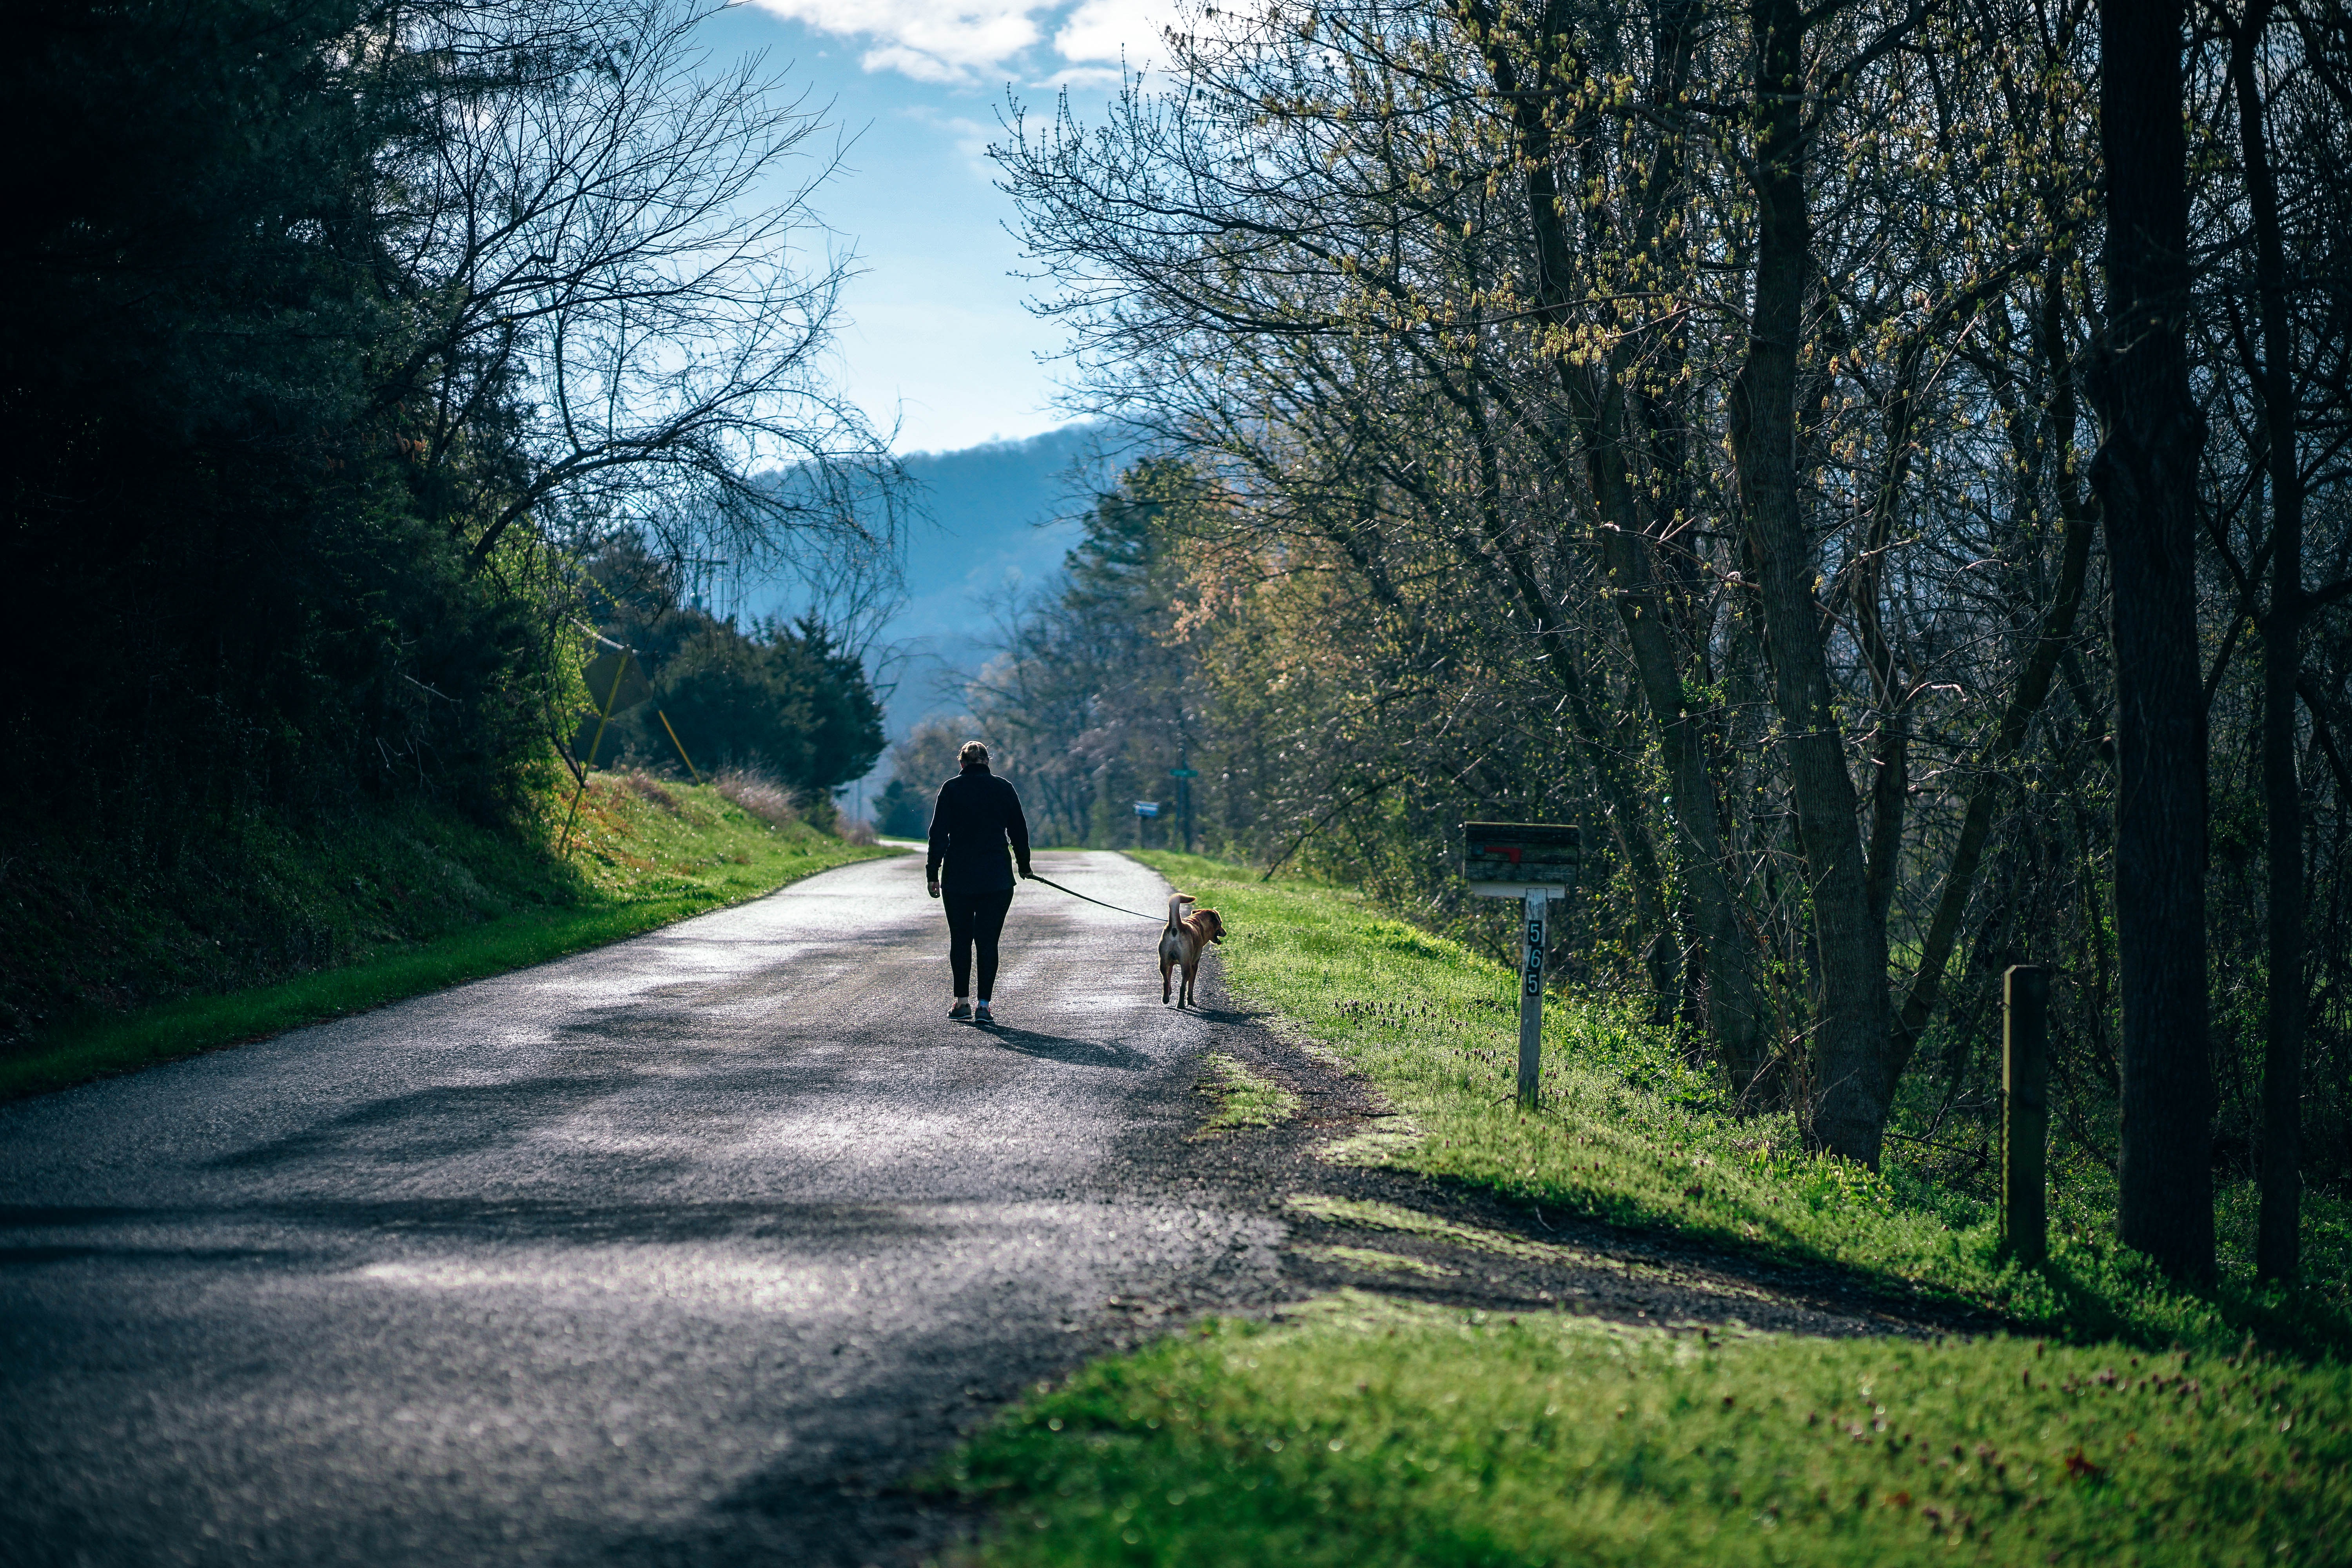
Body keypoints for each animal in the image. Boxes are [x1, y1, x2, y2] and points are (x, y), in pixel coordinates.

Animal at [1162, 893, 1232, 1006]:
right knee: (1183, 986)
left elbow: (1169, 978)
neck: (1198, 923)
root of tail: (1177, 927)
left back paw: (1165, 999)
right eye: (1220, 923)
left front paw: (1169, 992)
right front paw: (1191, 1001)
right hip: (1186, 966)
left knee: (1165, 981)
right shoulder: (1194, 965)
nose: (1225, 932)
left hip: (1163, 962)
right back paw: (1181, 1005)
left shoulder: (1171, 964)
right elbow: (1190, 986)